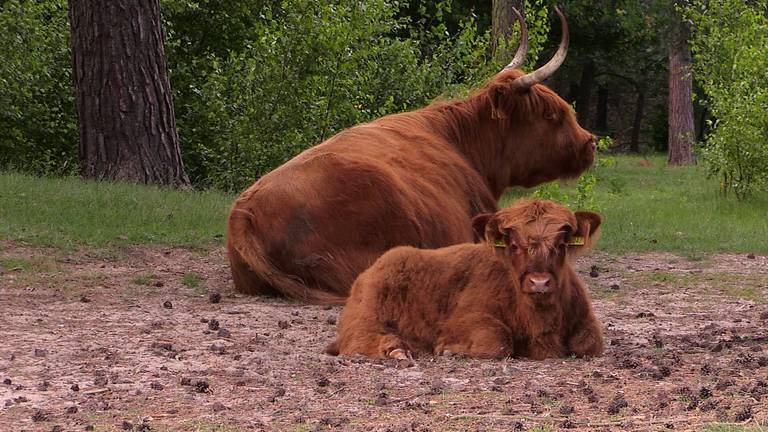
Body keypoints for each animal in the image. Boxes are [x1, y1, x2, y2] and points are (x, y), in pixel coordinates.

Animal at [328, 200, 604, 362]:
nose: (539, 282)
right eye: (514, 244)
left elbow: (589, 343)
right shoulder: (466, 319)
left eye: (561, 244)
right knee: (356, 339)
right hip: (369, 314)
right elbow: (497, 340)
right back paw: (396, 350)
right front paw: (448, 348)